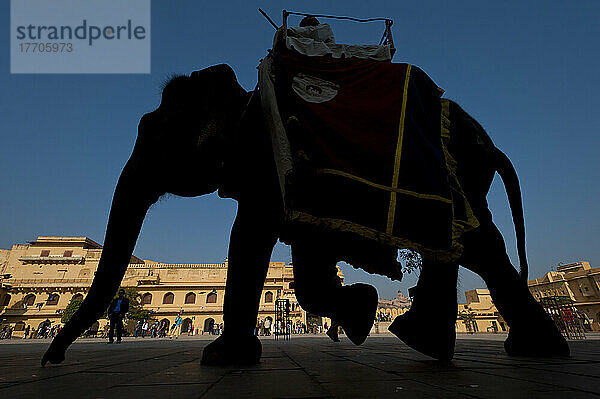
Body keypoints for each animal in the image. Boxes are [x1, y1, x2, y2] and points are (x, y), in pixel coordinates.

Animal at [41, 64, 568, 368]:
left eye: (154, 131)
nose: (52, 360)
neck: (247, 99)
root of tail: (490, 143)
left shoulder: (266, 168)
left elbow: (250, 238)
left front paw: (223, 358)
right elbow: (304, 262)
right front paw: (361, 312)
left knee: (476, 246)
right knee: (472, 246)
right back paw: (454, 344)